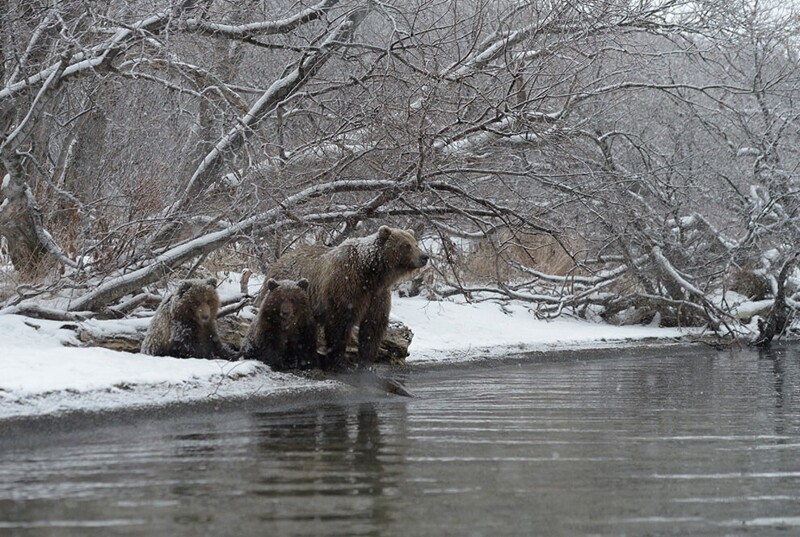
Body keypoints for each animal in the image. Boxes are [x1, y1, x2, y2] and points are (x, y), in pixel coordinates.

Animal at [260, 225, 428, 368]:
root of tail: (280, 259)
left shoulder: (378, 295)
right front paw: (340, 361)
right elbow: (340, 323)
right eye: (406, 245)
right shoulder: (346, 287)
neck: (371, 274)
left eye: (415, 243)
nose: (425, 256)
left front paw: (366, 361)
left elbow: (373, 325)